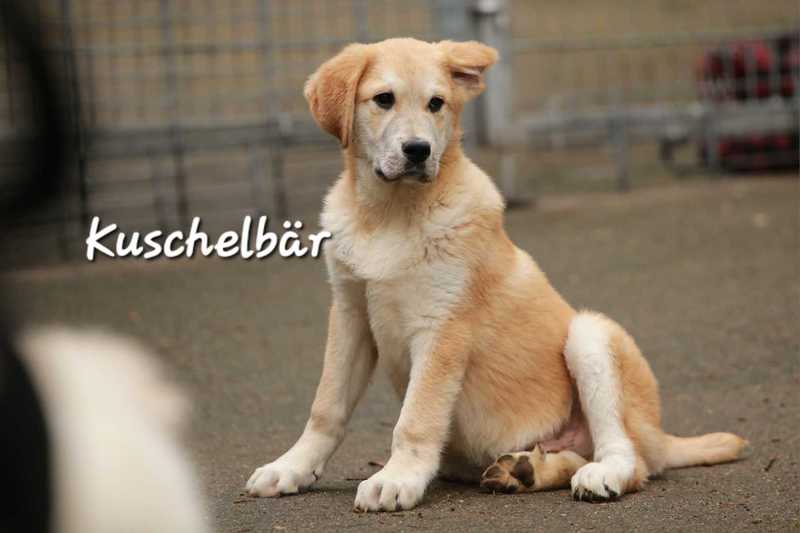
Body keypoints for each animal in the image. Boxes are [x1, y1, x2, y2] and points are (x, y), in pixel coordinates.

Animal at [246, 38, 750, 512]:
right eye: (383, 99)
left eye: (436, 103)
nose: (418, 151)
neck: (389, 215)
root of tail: (661, 437)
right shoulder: (351, 314)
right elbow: (326, 407)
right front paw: (290, 468)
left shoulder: (442, 328)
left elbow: (416, 418)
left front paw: (396, 479)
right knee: (571, 458)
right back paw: (524, 470)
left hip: (590, 336)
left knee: (628, 458)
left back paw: (600, 475)